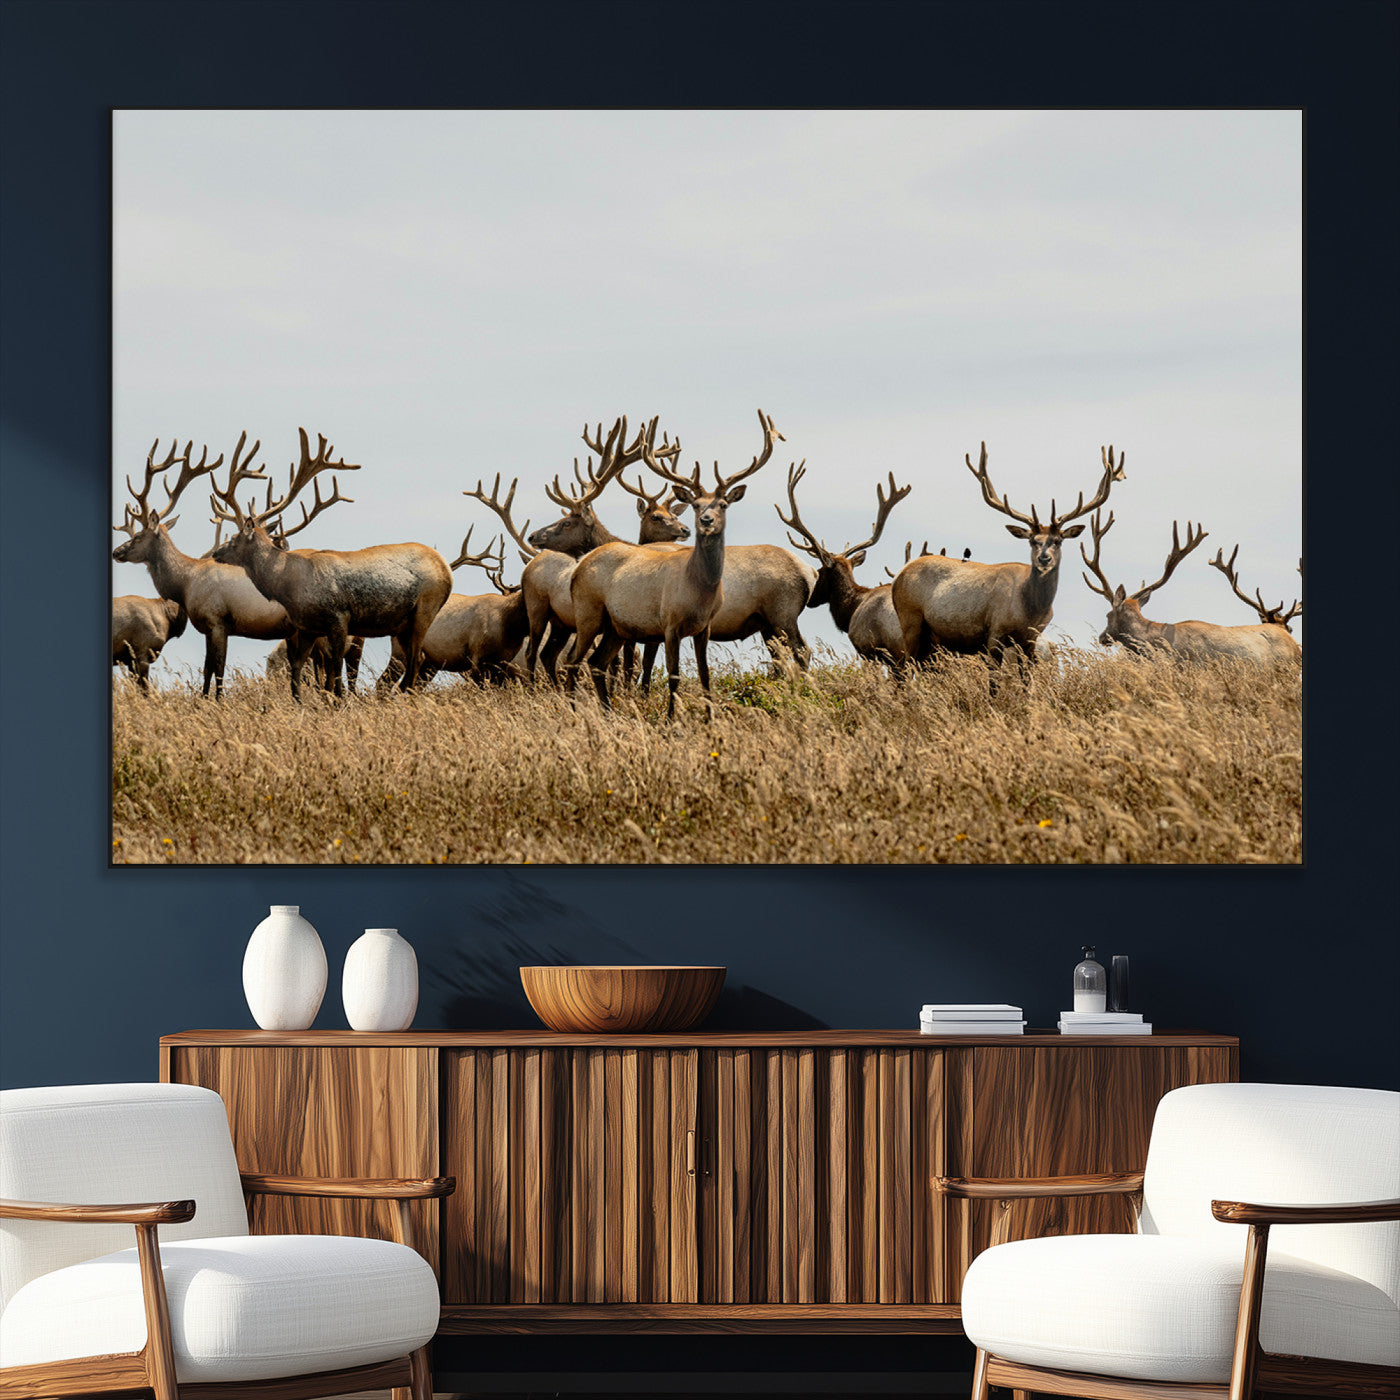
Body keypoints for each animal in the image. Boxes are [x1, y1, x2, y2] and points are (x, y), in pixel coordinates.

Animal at [211, 428, 452, 699]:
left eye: (234, 538)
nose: (216, 552)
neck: (288, 585)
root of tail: (446, 568)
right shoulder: (308, 627)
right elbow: (299, 669)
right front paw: (300, 702)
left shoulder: (339, 617)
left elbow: (335, 670)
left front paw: (337, 702)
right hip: (401, 624)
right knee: (415, 660)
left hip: (426, 607)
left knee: (414, 660)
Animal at [463, 416, 687, 685]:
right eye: (656, 517)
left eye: (568, 522)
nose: (533, 535)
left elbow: (626, 663)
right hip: (547, 616)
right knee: (540, 654)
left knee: (542, 655)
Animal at [565, 409, 783, 719]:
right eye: (696, 505)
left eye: (723, 504)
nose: (706, 520)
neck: (699, 591)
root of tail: (578, 567)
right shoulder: (669, 623)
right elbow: (674, 674)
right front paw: (671, 719)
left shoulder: (704, 627)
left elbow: (705, 674)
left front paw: (709, 719)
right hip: (587, 611)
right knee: (573, 661)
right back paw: (574, 711)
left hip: (615, 625)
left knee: (597, 662)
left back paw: (608, 712)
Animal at [892, 441, 1126, 675]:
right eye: (1032, 540)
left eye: (1058, 541)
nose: (1044, 559)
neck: (1029, 610)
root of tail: (899, 575)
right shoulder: (995, 631)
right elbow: (994, 678)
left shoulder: (1030, 639)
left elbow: (1027, 677)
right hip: (910, 620)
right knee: (903, 668)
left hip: (930, 638)